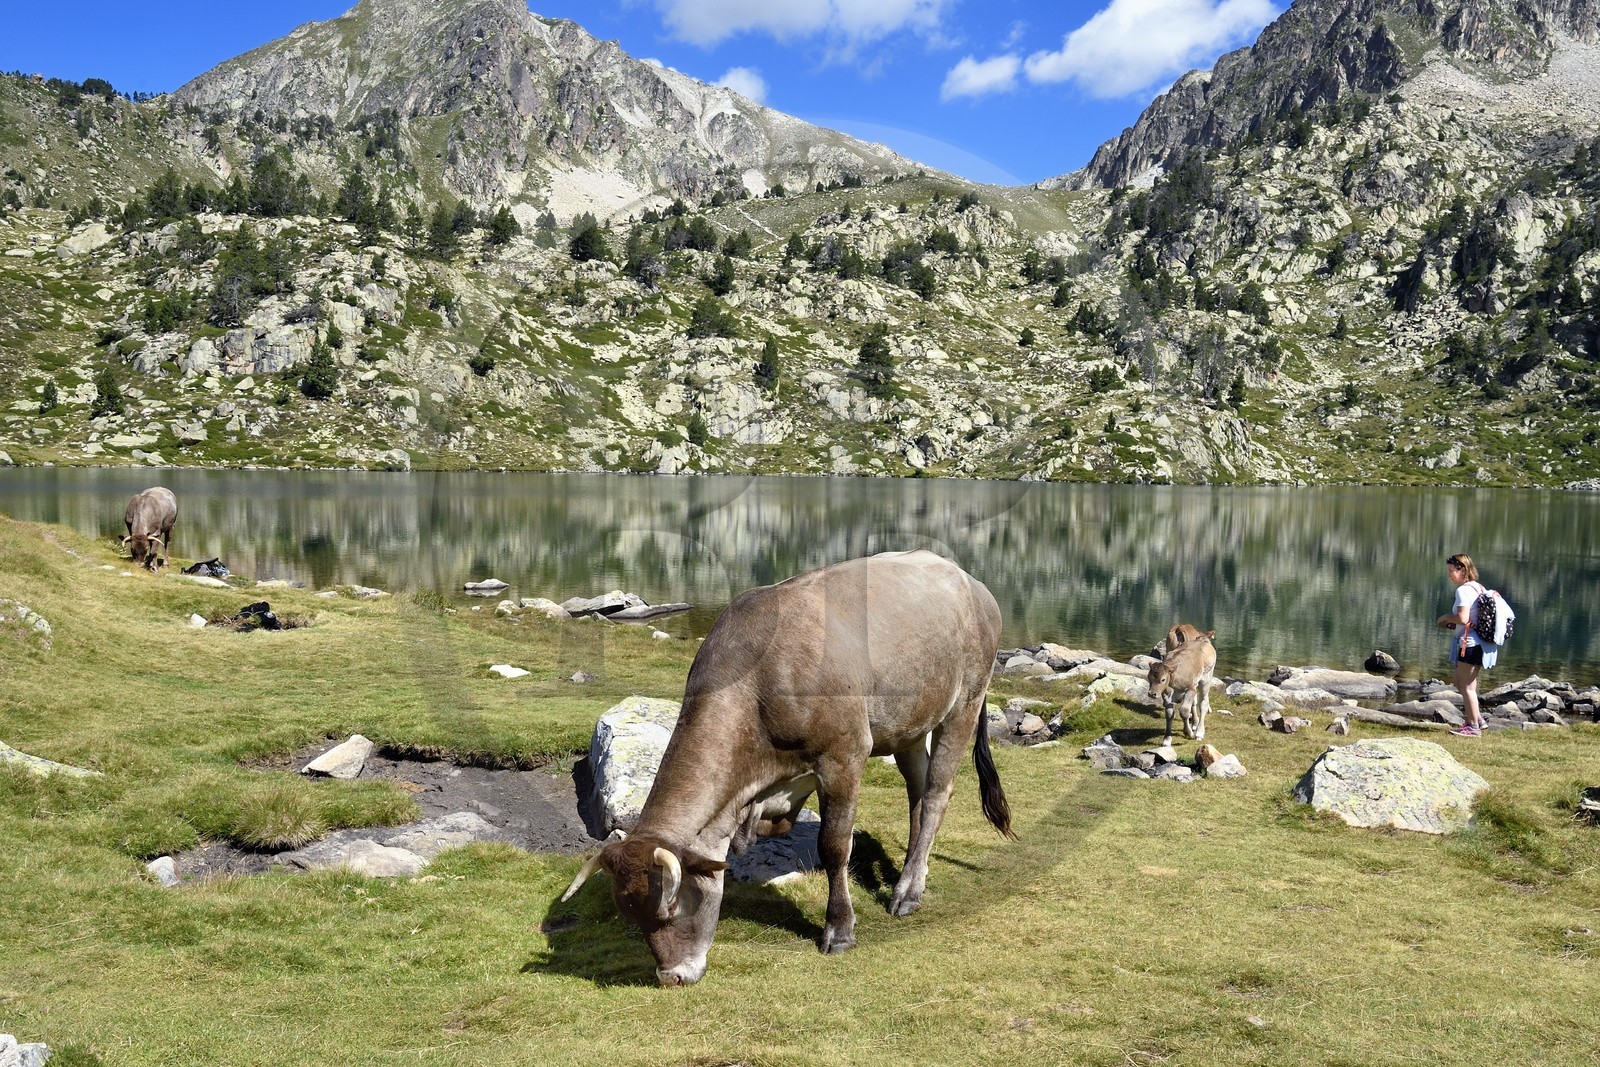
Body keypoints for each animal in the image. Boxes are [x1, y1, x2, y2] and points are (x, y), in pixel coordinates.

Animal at [560, 550, 1014, 986]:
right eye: (631, 915)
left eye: (670, 909)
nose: (671, 977)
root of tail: (969, 581)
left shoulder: (844, 755)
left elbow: (834, 846)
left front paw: (839, 930)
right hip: (909, 723)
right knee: (918, 794)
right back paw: (911, 877)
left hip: (965, 702)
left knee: (937, 792)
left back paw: (906, 894)